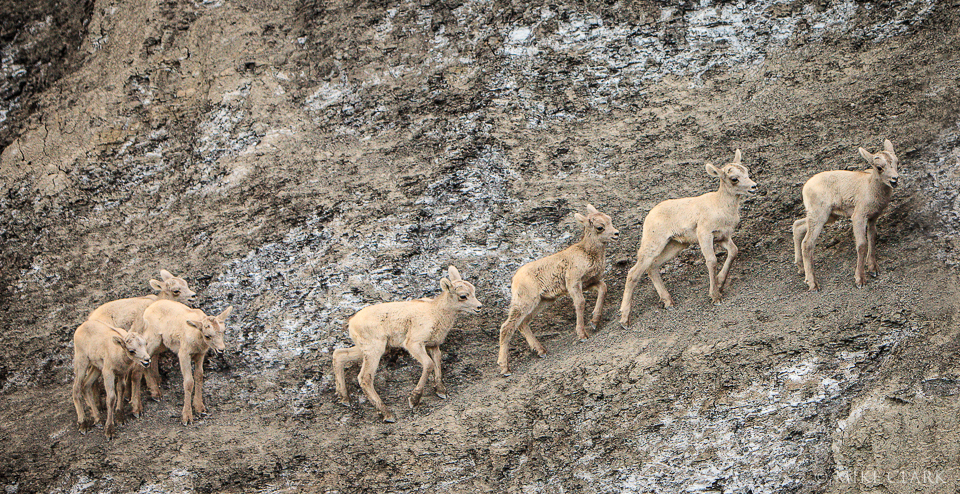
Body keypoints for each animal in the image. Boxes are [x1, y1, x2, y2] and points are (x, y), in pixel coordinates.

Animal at [333, 266, 482, 423]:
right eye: (463, 296)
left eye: (473, 290)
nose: (479, 307)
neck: (436, 313)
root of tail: (352, 323)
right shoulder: (414, 344)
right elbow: (429, 364)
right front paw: (414, 400)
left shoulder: (433, 345)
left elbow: (437, 362)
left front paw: (441, 391)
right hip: (374, 350)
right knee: (364, 378)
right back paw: (388, 414)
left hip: (364, 349)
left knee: (339, 355)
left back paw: (344, 398)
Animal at [497, 205, 620, 376]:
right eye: (600, 227)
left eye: (610, 220)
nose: (616, 234)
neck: (587, 253)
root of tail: (515, 279)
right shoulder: (573, 282)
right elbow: (580, 303)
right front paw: (582, 335)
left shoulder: (589, 283)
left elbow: (603, 288)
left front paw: (595, 322)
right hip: (525, 302)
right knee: (507, 327)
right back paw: (505, 368)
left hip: (543, 301)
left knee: (523, 324)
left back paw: (541, 351)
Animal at [619, 150, 758, 325]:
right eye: (734, 178)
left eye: (746, 171)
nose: (754, 186)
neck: (720, 206)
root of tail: (649, 216)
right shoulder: (704, 234)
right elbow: (711, 261)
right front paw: (715, 297)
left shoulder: (723, 237)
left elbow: (733, 252)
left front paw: (720, 283)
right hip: (654, 244)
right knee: (633, 273)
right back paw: (624, 319)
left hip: (675, 245)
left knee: (652, 267)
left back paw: (668, 302)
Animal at [792, 139, 900, 291]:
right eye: (879, 167)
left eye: (897, 162)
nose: (894, 180)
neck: (870, 187)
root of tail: (806, 187)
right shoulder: (858, 217)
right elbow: (862, 244)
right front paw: (860, 280)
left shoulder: (872, 217)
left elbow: (872, 238)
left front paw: (873, 269)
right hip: (820, 215)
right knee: (807, 244)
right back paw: (813, 284)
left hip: (828, 216)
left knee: (798, 226)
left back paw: (801, 270)